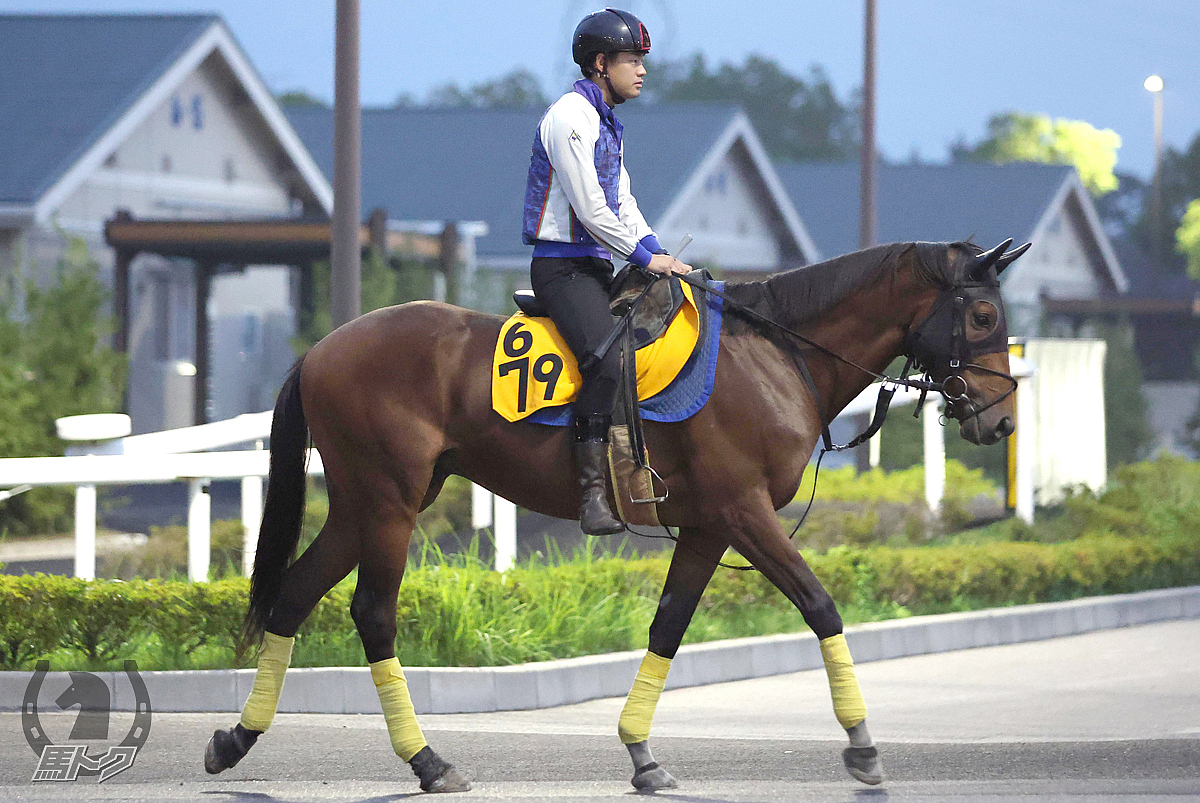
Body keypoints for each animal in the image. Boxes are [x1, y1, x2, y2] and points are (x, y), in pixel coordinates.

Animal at [201, 236, 1027, 787]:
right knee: (371, 611)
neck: (772, 354)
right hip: (389, 503)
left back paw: (238, 737)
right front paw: (860, 740)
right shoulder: (744, 512)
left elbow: (668, 625)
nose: (1002, 421)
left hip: (366, 504)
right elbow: (821, 604)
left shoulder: (707, 525)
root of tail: (321, 349)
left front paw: (640, 749)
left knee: (294, 592)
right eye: (984, 314)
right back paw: (427, 759)